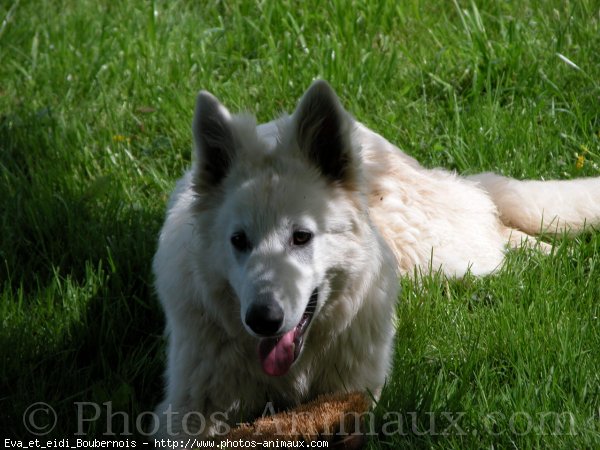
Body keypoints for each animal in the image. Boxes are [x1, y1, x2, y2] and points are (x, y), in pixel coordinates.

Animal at [151, 79, 600, 438]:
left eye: (301, 237)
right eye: (239, 241)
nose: (263, 319)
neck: (295, 371)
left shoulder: (358, 392)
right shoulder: (184, 412)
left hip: (440, 255)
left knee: (493, 219)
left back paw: (552, 256)